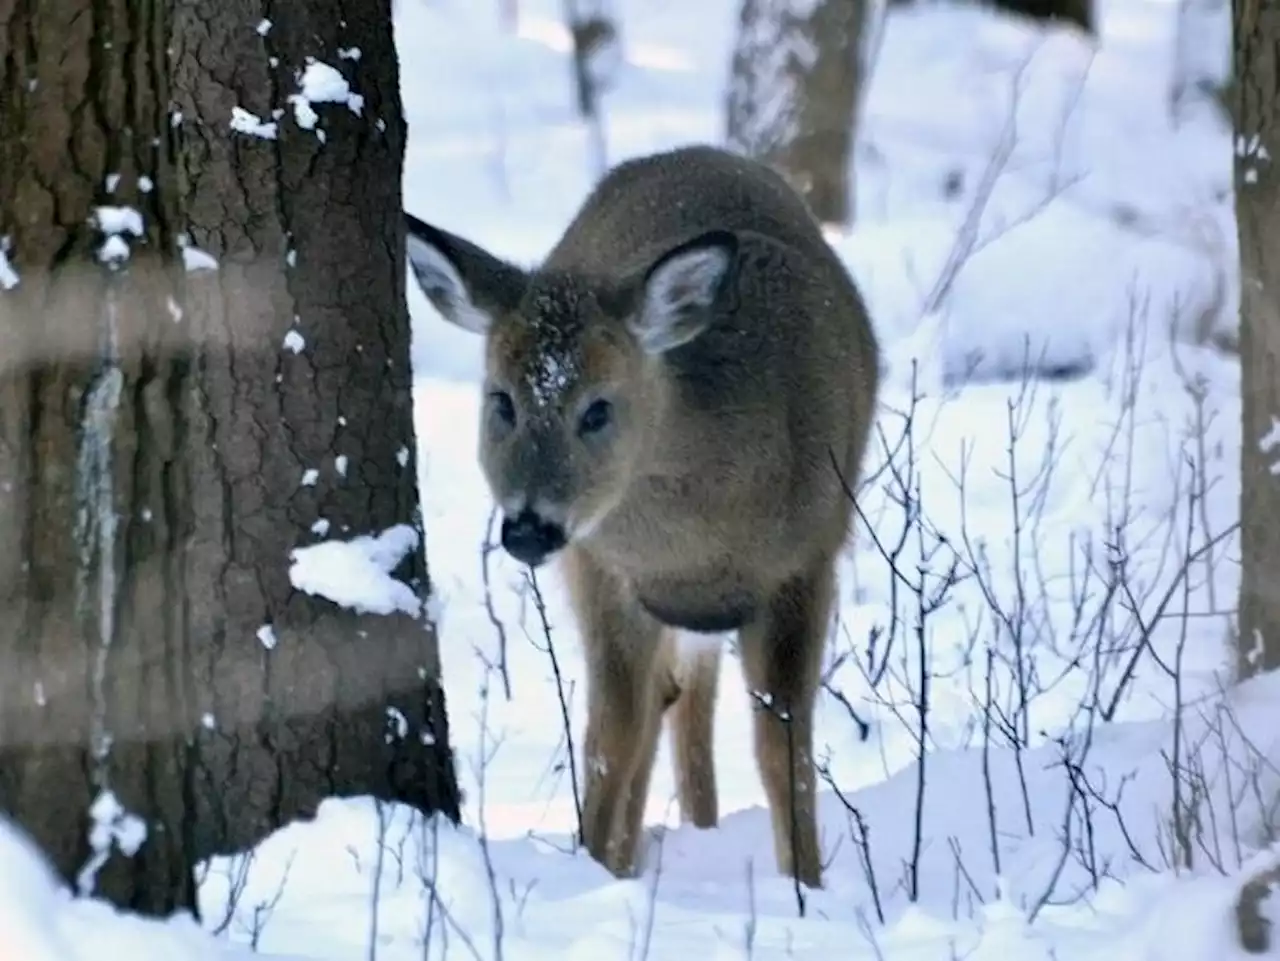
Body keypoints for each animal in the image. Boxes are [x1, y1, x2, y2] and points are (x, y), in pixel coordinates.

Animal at [401, 142, 880, 885]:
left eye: (598, 408)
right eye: (501, 400)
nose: (529, 528)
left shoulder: (809, 557)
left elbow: (783, 741)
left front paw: (806, 883)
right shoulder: (603, 569)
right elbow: (613, 737)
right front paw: (596, 867)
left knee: (691, 705)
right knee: (663, 709)